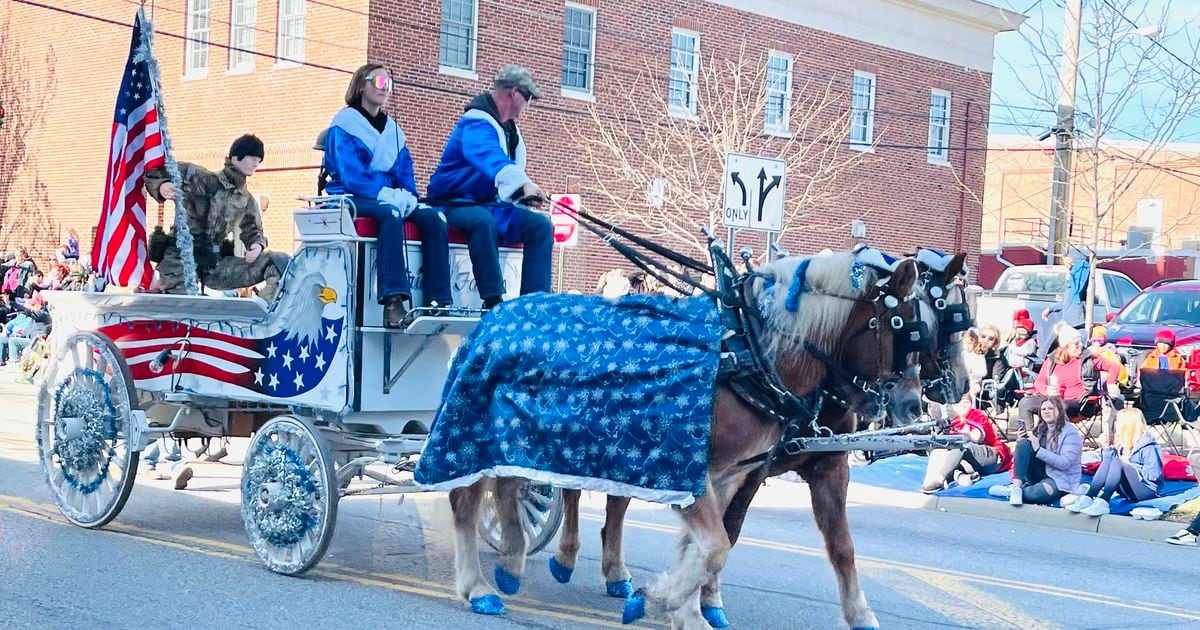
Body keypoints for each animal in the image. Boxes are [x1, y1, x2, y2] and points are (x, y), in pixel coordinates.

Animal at [446, 249, 921, 624]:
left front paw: (680, 607)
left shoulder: (731, 476)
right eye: (902, 326)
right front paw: (665, 601)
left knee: (509, 488)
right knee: (466, 500)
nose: (909, 404)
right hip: (476, 431)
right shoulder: (689, 473)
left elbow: (709, 547)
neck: (747, 351)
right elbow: (713, 548)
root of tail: (490, 317)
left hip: (524, 439)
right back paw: (478, 587)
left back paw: (512, 562)